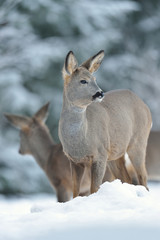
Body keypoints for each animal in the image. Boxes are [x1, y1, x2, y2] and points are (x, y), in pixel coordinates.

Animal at [58, 49, 151, 197]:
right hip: (115, 153)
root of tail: (145, 106)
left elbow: (94, 189)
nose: (100, 93)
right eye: (83, 81)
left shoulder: (100, 154)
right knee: (127, 178)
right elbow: (75, 192)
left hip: (138, 142)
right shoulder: (74, 160)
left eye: (94, 79)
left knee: (143, 177)